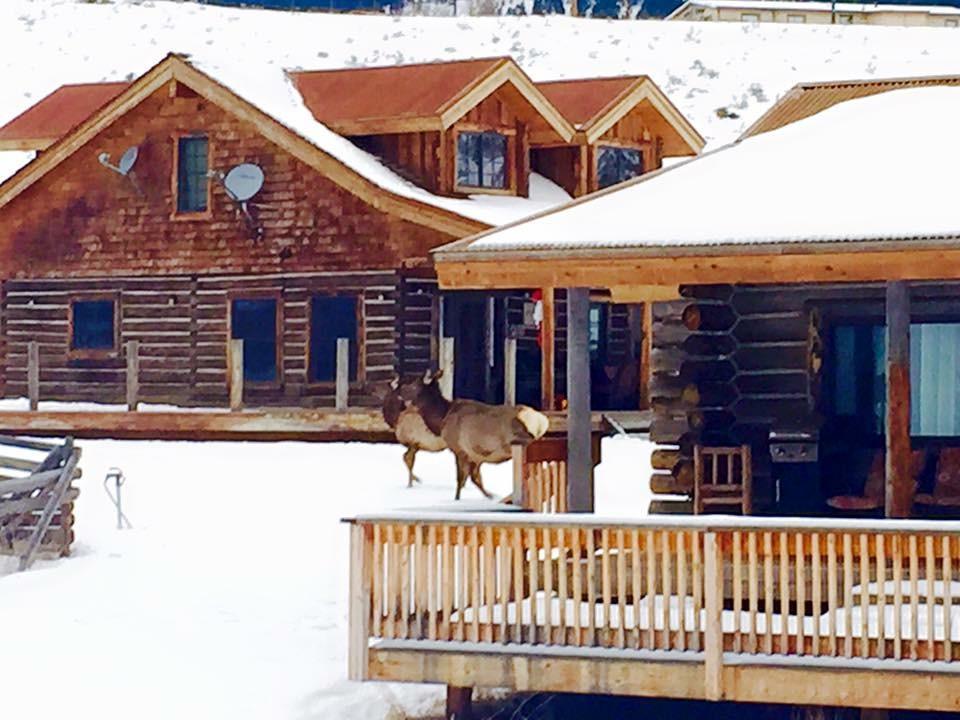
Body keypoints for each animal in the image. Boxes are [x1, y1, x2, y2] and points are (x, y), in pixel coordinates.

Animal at [404, 368, 552, 498]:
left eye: (414, 384)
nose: (401, 391)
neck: (441, 420)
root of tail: (541, 421)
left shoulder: (459, 449)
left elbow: (460, 479)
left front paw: (457, 499)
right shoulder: (475, 455)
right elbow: (475, 478)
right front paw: (491, 496)